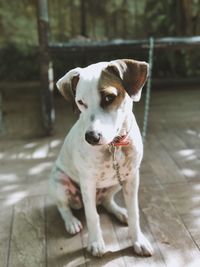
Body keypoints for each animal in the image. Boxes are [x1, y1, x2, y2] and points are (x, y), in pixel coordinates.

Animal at [49, 58, 153, 258]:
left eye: (109, 98)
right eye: (80, 102)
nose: (91, 137)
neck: (114, 146)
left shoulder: (132, 178)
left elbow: (135, 213)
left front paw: (138, 241)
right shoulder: (87, 182)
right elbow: (92, 216)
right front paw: (96, 242)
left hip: (115, 183)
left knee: (106, 201)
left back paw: (119, 212)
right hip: (60, 182)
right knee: (63, 207)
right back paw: (71, 222)